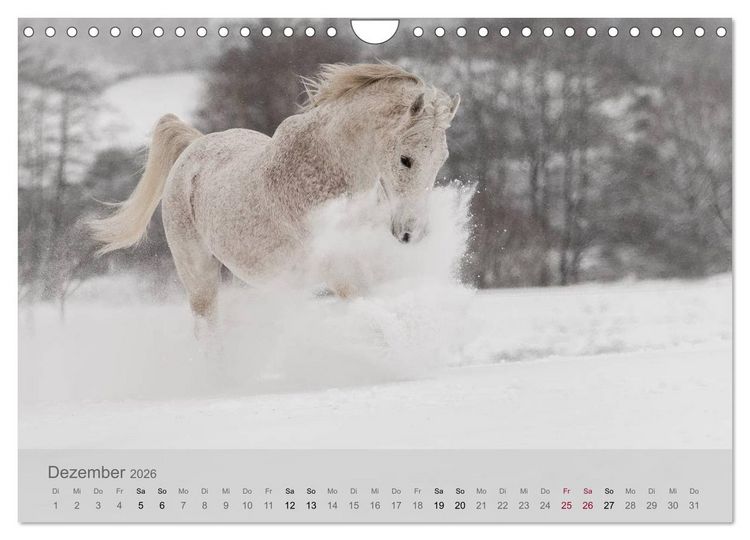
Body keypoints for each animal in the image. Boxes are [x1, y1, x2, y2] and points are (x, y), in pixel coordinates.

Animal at [89, 63, 460, 331]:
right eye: (405, 159)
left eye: (442, 159)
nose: (410, 233)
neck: (329, 168)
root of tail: (194, 147)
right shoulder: (338, 267)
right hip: (199, 276)